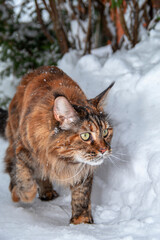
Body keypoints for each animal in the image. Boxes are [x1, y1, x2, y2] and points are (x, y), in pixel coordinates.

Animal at [3, 65, 114, 223]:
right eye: (86, 136)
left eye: (105, 132)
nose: (104, 149)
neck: (63, 159)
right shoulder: (23, 149)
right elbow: (24, 176)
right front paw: (23, 194)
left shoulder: (83, 169)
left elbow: (82, 194)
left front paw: (81, 221)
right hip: (14, 136)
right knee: (13, 165)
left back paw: (47, 191)